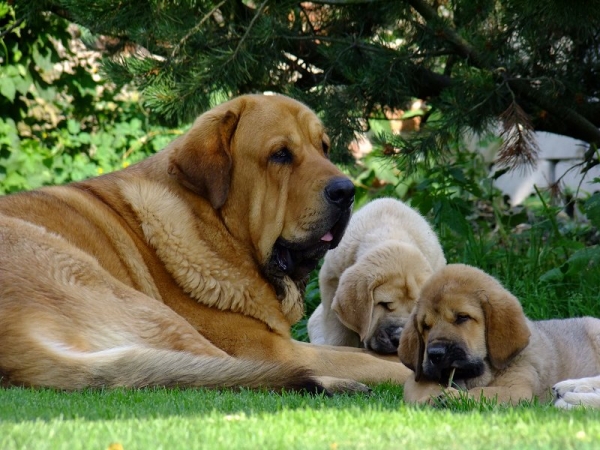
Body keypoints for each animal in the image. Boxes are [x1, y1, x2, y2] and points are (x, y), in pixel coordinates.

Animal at [0, 93, 410, 392]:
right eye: (280, 155)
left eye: (323, 147)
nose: (346, 190)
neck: (214, 231)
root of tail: (14, 342)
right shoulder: (272, 347)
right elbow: (363, 359)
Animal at [398, 264, 600, 408]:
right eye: (425, 326)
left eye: (462, 317)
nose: (435, 354)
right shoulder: (416, 381)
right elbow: (422, 392)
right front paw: (430, 400)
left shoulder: (517, 390)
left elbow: (482, 392)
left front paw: (455, 397)